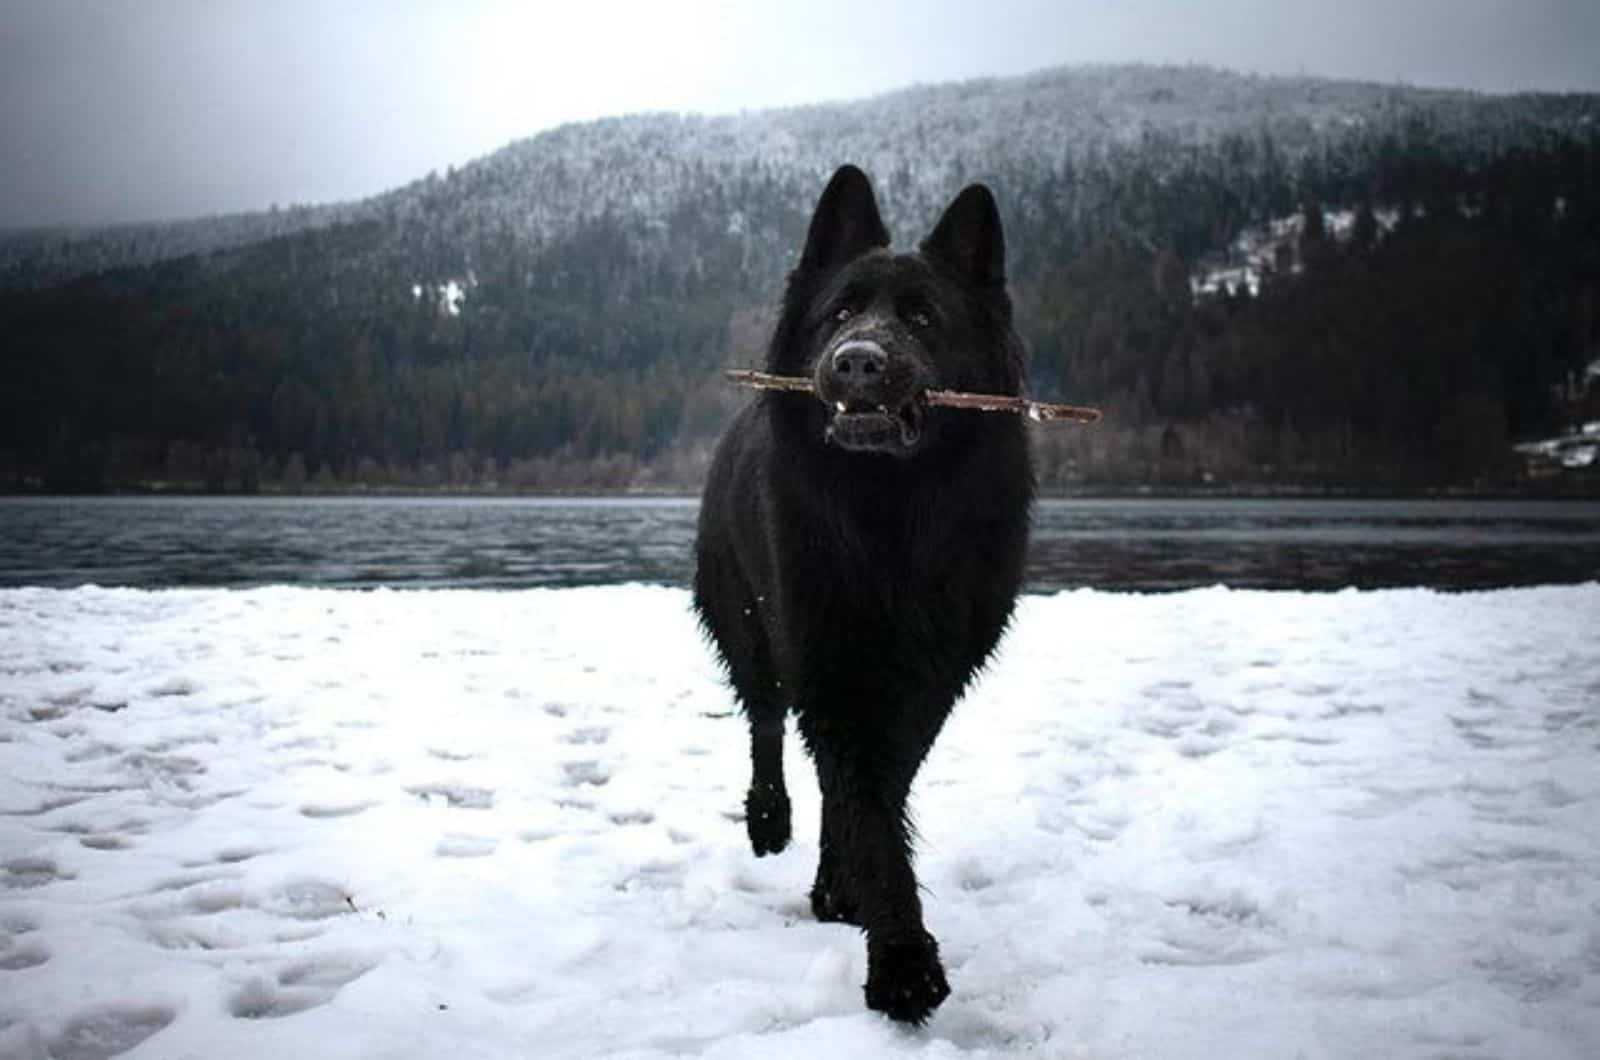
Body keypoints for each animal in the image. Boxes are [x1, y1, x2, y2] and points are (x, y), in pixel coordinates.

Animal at [694, 168, 1030, 1031]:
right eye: (840, 313)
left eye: (922, 318)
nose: (855, 364)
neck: (889, 515)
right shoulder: (833, 662)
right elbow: (868, 803)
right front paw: (903, 964)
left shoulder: (932, 675)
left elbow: (881, 788)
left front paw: (851, 891)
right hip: (748, 624)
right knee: (766, 720)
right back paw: (769, 819)